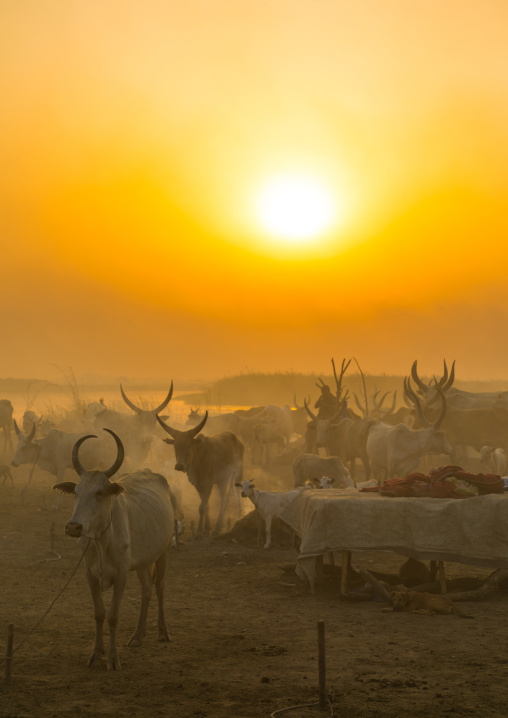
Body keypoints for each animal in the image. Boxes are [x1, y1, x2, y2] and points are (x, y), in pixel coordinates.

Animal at [53, 430, 174, 670]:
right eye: (76, 491)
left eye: (100, 493)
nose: (73, 527)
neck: (101, 541)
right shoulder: (89, 574)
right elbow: (99, 614)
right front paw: (96, 654)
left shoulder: (120, 575)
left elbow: (113, 616)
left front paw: (112, 658)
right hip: (143, 561)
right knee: (147, 589)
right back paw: (137, 636)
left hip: (163, 552)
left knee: (159, 588)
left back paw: (163, 632)